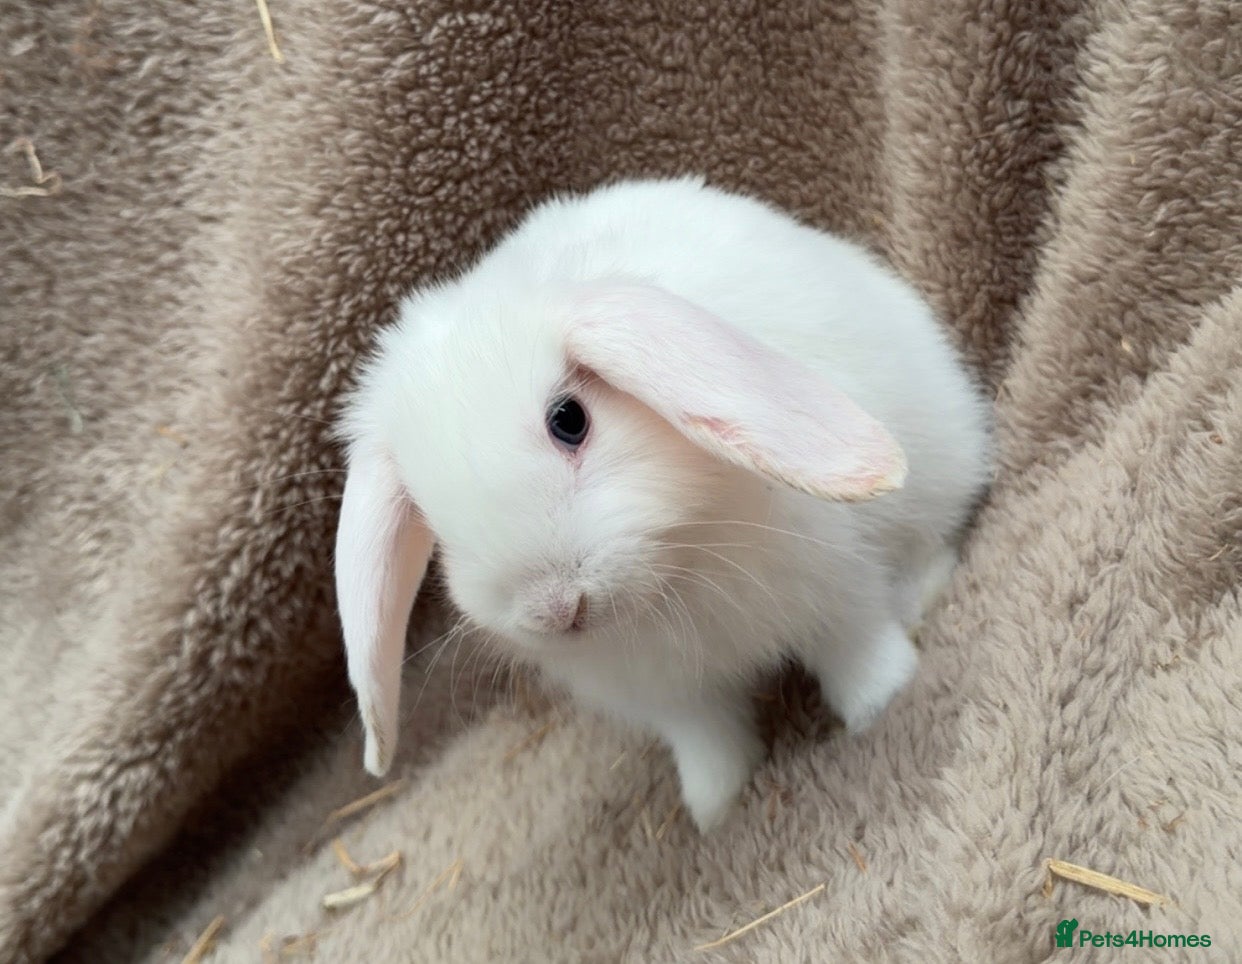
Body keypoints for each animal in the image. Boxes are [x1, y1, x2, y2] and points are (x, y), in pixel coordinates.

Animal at [334, 176, 993, 832]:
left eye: (569, 420)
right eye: (427, 511)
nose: (555, 608)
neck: (674, 574)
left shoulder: (836, 586)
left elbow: (855, 647)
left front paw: (883, 703)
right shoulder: (672, 697)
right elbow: (708, 740)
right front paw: (715, 807)